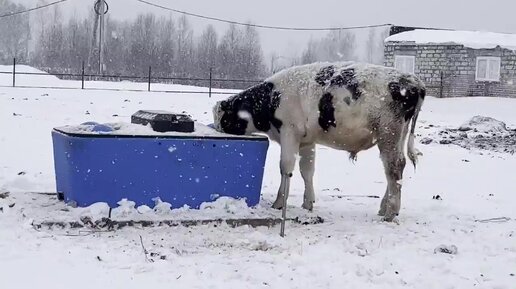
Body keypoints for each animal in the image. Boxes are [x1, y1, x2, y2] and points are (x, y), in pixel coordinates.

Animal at [212, 61, 426, 220]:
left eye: (224, 117)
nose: (217, 129)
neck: (273, 99)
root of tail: (414, 81)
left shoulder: (289, 133)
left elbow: (286, 167)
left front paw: (279, 203)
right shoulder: (307, 140)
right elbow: (307, 170)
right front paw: (308, 203)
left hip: (389, 133)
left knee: (394, 167)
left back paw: (390, 212)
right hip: (397, 136)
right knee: (395, 167)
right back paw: (383, 208)